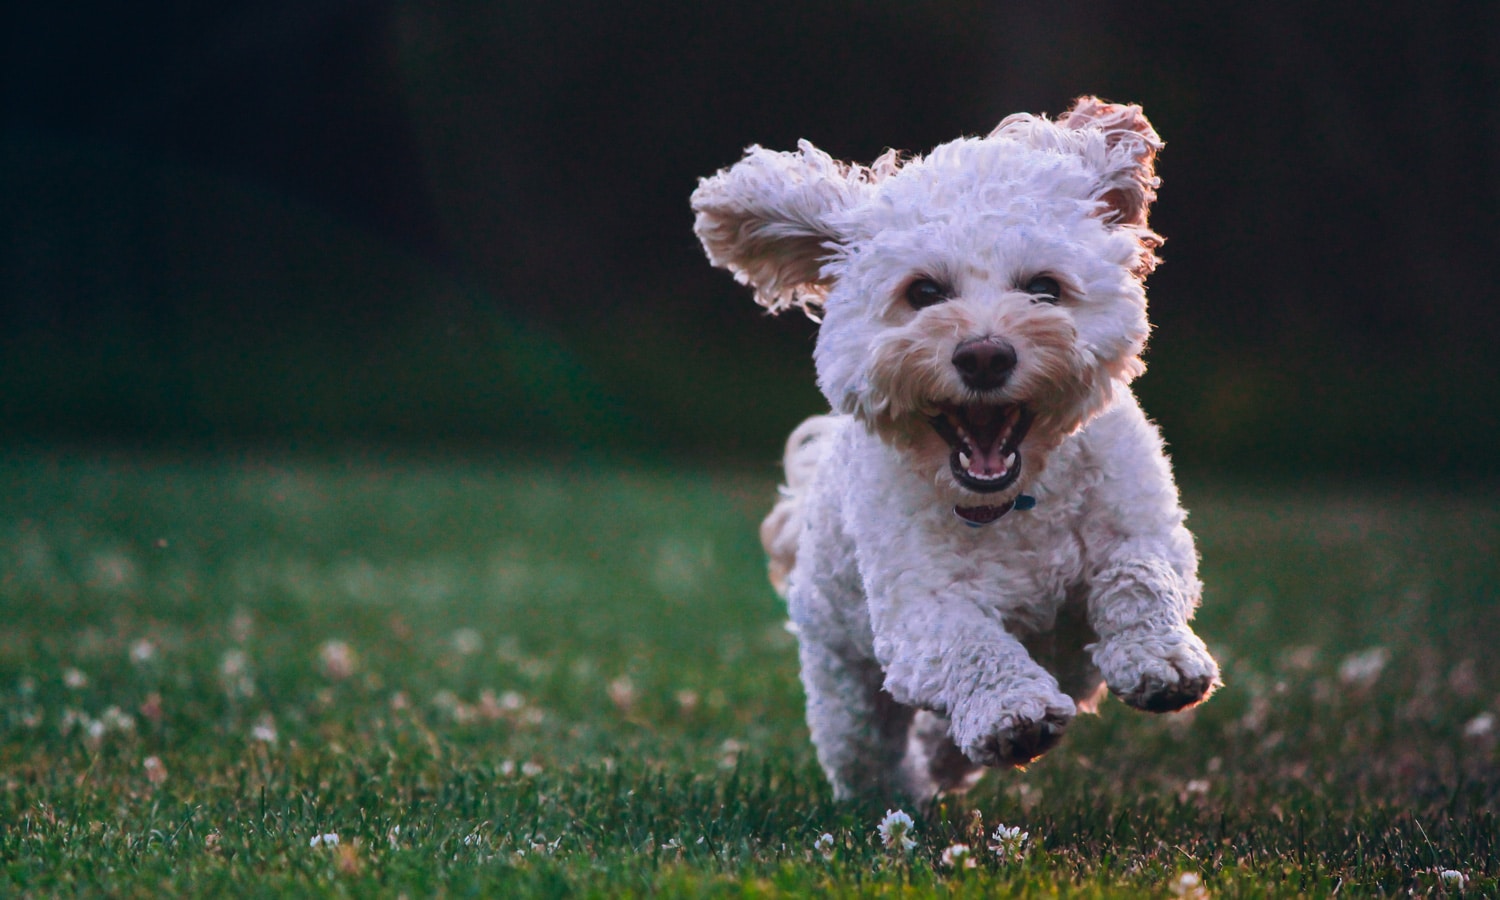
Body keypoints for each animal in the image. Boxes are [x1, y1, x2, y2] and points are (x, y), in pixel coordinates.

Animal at [690, 98, 1218, 804]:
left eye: (1044, 288)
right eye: (923, 293)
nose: (985, 355)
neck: (1016, 502)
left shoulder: (1145, 526)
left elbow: (1139, 575)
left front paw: (1161, 659)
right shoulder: (919, 610)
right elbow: (970, 644)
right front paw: (1011, 712)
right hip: (842, 676)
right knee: (865, 748)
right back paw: (902, 792)